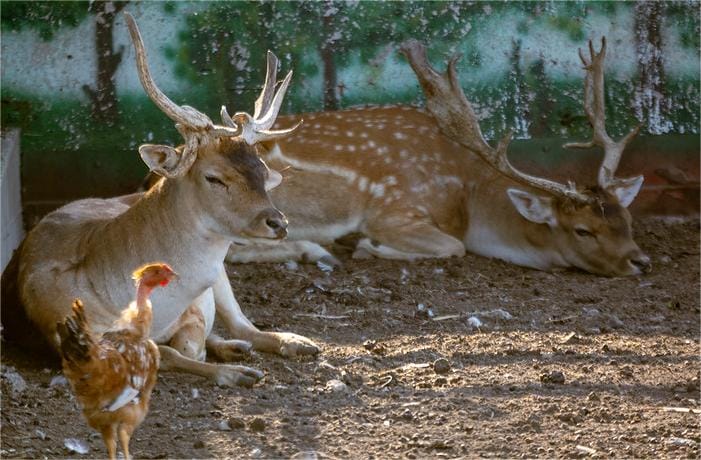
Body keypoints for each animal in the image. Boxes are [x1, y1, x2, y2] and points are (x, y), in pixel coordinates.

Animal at [4, 14, 318, 386]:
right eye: (214, 177)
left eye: (261, 169)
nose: (278, 222)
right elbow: (165, 351)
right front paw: (232, 372)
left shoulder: (197, 306)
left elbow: (191, 340)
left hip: (222, 276)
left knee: (245, 325)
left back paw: (297, 342)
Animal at [230, 36, 652, 276]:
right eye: (583, 230)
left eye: (628, 220)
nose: (640, 261)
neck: (466, 193)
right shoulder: (393, 211)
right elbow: (454, 247)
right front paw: (367, 246)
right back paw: (320, 250)